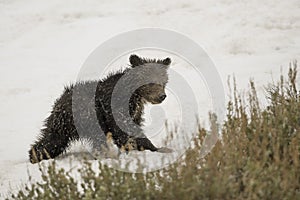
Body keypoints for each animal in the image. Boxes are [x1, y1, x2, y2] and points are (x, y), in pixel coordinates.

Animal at [29, 54, 173, 163]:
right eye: (150, 81)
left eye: (163, 81)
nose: (162, 96)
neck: (135, 95)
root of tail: (60, 100)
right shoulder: (115, 107)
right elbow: (124, 129)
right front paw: (152, 148)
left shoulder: (135, 111)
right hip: (88, 116)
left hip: (66, 123)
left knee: (54, 139)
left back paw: (37, 154)